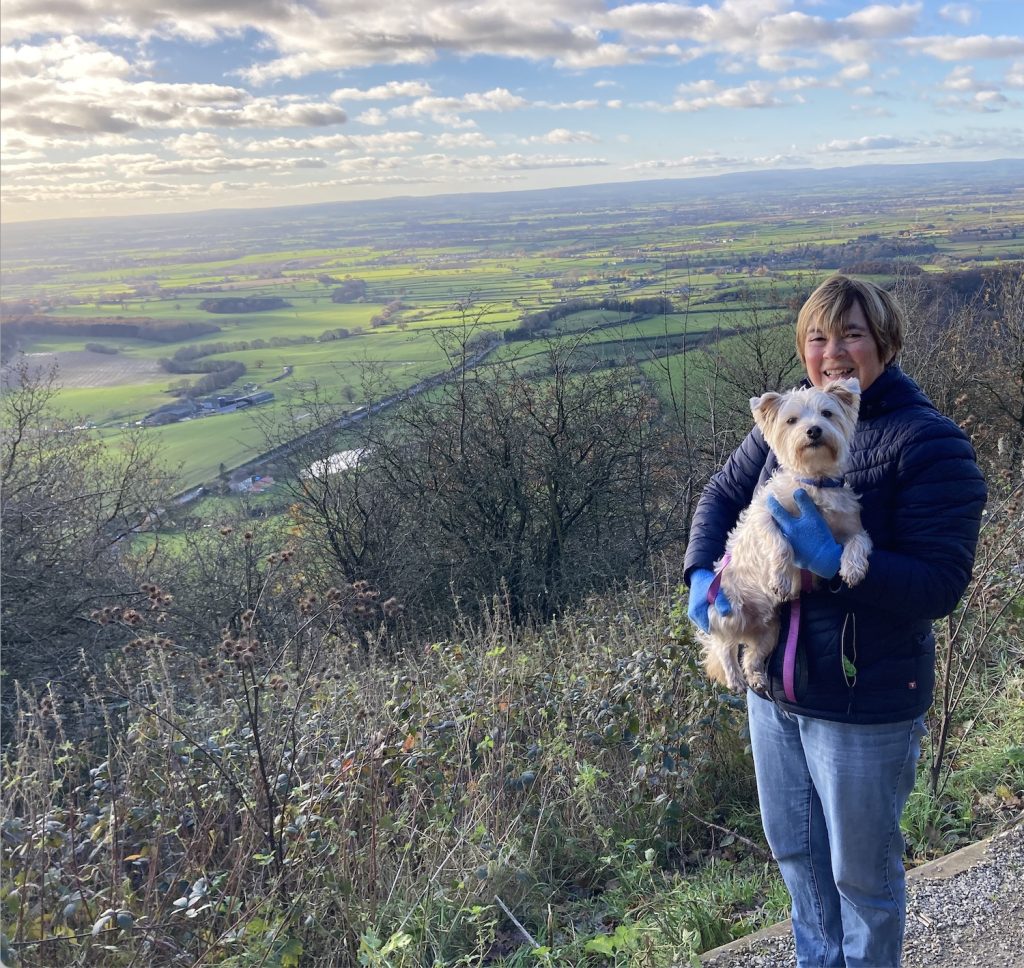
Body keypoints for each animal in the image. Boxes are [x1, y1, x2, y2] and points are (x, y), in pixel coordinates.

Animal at [704, 379, 872, 696]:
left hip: (770, 631)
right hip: (729, 611)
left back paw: (756, 677)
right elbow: (780, 544)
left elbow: (858, 543)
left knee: (751, 656)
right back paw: (734, 678)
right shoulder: (766, 515)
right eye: (792, 420)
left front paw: (853, 569)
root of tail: (748, 626)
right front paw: (780, 580)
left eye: (827, 413)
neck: (815, 484)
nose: (813, 430)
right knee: (724, 646)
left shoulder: (851, 529)